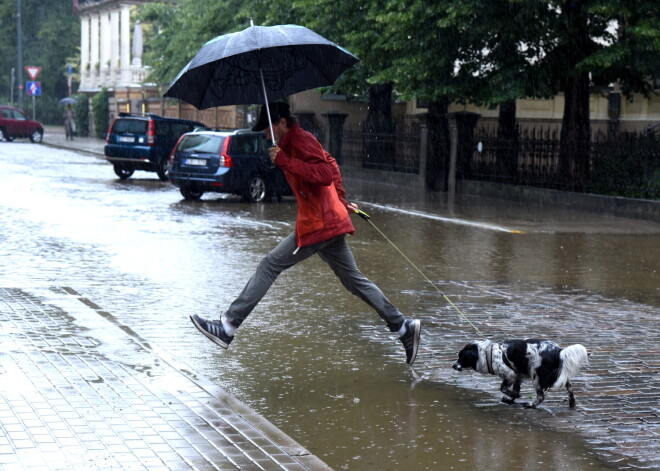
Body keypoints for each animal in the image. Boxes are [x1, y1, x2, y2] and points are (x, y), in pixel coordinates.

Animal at [454, 340, 588, 410]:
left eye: (461, 357)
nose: (453, 365)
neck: (488, 354)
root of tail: (559, 351)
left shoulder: (510, 374)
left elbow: (503, 388)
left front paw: (514, 397)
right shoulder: (517, 376)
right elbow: (514, 390)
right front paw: (510, 399)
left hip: (535, 375)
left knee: (541, 396)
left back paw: (530, 405)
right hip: (561, 377)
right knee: (570, 389)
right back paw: (572, 404)